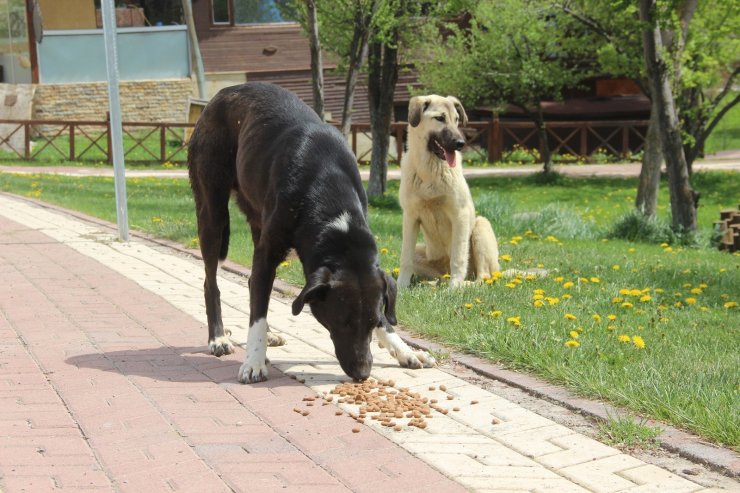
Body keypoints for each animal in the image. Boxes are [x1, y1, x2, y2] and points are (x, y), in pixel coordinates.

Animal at [188, 82, 436, 382]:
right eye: (341, 321)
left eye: (372, 322)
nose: (363, 374)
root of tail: (222, 94)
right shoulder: (269, 252)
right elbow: (257, 314)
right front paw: (254, 361)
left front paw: (403, 349)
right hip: (212, 210)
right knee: (211, 282)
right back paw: (219, 338)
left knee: (252, 284)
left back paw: (268, 335)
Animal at [396, 95, 500, 288]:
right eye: (440, 118)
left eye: (456, 119)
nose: (461, 143)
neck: (430, 171)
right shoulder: (410, 217)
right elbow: (405, 257)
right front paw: (401, 286)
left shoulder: (460, 215)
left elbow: (458, 256)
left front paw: (455, 287)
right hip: (423, 253)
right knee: (437, 275)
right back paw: (433, 284)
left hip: (480, 227)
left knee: (484, 276)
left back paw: (464, 284)